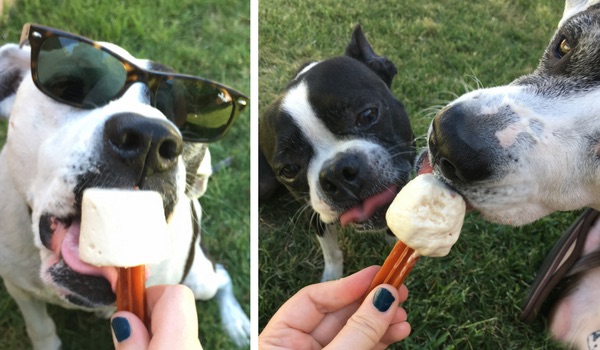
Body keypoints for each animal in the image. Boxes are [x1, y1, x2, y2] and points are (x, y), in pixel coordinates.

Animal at [260, 26, 414, 280]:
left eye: (368, 115)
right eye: (289, 169)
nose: (337, 173)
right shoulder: (315, 214)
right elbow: (331, 251)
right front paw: (332, 279)